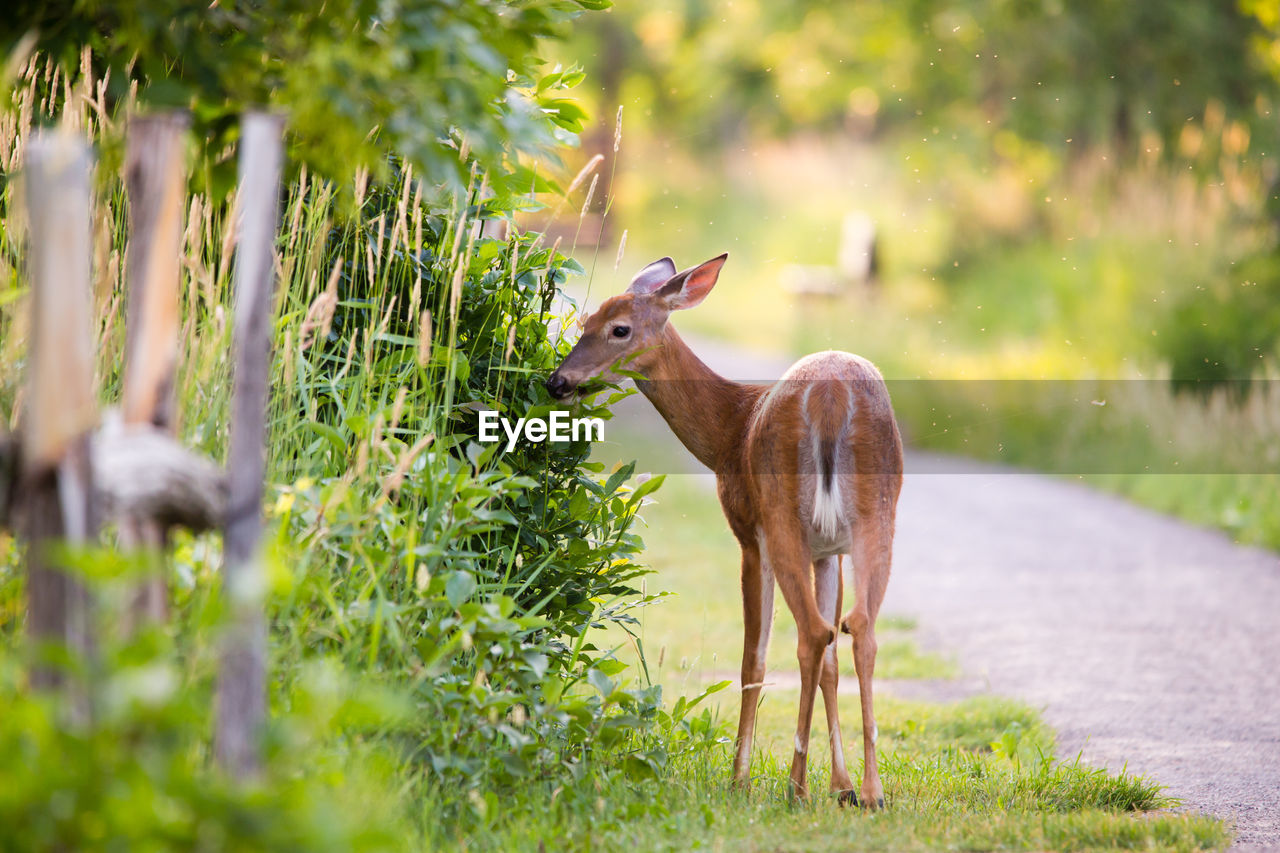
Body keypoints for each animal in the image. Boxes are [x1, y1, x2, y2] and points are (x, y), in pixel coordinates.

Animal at [545, 251, 906, 804]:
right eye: (584, 322)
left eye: (619, 328)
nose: (557, 382)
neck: (728, 433)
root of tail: (830, 398)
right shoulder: (830, 551)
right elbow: (831, 664)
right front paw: (842, 786)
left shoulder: (749, 535)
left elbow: (752, 660)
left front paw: (741, 777)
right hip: (877, 518)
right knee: (857, 629)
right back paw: (872, 792)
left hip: (782, 517)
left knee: (811, 633)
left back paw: (795, 786)